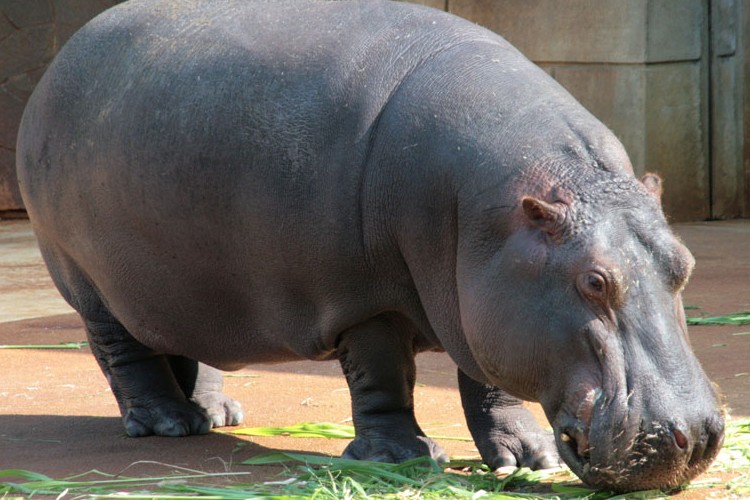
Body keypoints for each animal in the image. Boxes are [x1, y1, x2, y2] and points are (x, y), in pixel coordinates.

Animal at [16, 0, 724, 492]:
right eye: (593, 281)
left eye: (685, 264)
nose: (691, 438)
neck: (488, 217)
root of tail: (58, 63)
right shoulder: (363, 299)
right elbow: (383, 377)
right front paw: (403, 459)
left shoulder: (478, 296)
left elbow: (486, 382)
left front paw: (528, 460)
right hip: (88, 280)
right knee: (123, 353)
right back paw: (168, 423)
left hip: (179, 281)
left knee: (186, 339)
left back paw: (218, 415)